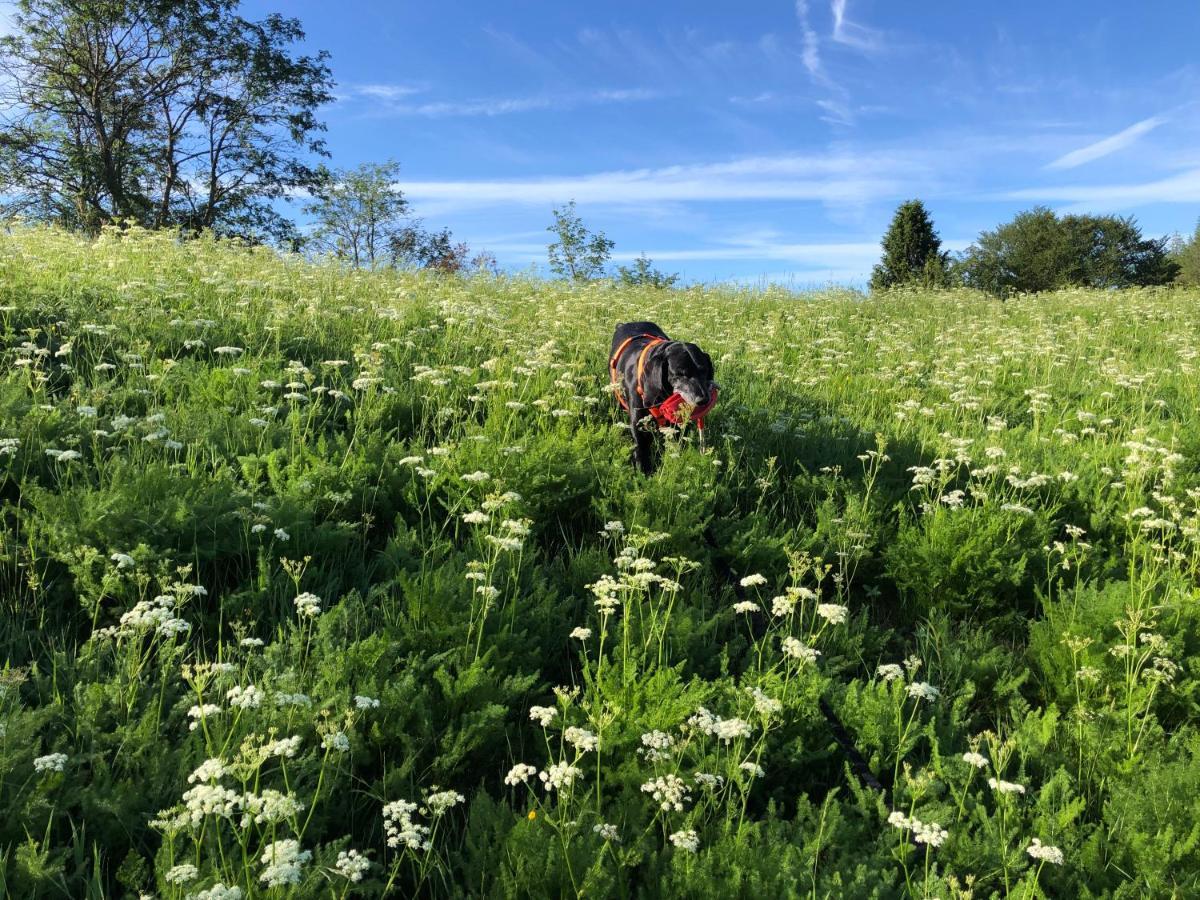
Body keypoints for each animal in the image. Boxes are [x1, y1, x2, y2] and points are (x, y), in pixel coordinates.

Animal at [604, 324, 715, 480]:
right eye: (680, 374)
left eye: (704, 370)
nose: (703, 400)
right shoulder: (638, 426)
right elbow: (641, 452)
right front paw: (644, 476)